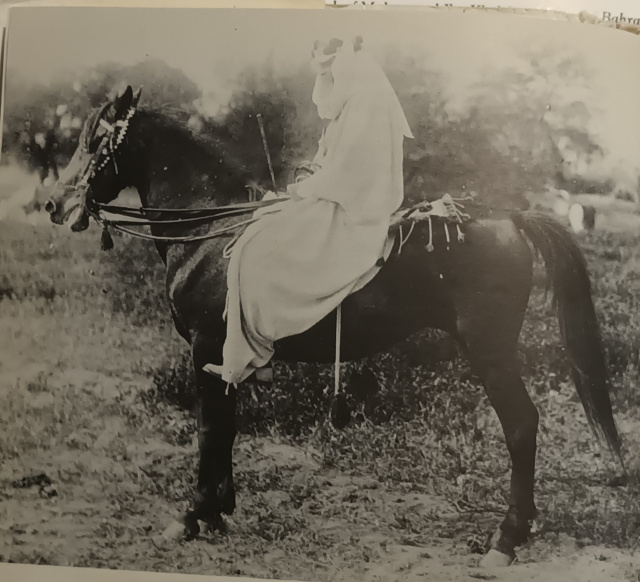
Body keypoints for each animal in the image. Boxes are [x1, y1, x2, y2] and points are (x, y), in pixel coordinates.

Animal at [46, 88, 624, 572]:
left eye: (95, 141)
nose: (55, 204)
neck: (211, 230)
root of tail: (508, 217)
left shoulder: (206, 350)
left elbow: (210, 430)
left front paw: (191, 516)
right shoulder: (222, 356)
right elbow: (226, 428)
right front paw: (218, 511)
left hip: (492, 352)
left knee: (522, 427)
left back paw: (506, 540)